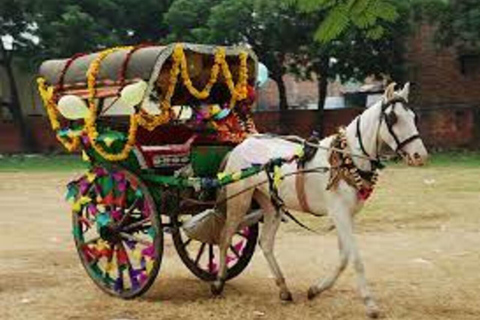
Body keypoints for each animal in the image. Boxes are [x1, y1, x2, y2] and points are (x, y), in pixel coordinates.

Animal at [213, 82, 428, 318]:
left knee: (266, 243)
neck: (346, 159)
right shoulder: (339, 212)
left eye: (413, 117)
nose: (420, 156)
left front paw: (316, 289)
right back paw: (219, 282)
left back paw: (284, 289)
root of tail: (242, 145)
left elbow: (344, 257)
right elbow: (355, 258)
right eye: (393, 118)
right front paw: (370, 303)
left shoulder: (347, 215)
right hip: (239, 200)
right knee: (225, 237)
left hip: (272, 204)